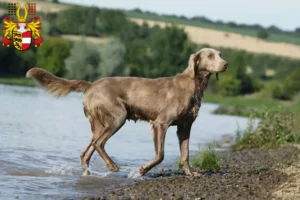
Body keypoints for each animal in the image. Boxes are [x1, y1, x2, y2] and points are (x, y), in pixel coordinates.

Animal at [26, 47, 227, 176]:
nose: (225, 64)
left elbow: (185, 154)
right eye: (210, 56)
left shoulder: (185, 126)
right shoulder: (161, 123)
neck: (194, 85)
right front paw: (143, 169)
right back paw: (112, 166)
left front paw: (191, 174)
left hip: (100, 124)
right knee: (99, 144)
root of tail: (91, 84)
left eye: (220, 54)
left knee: (87, 152)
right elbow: (160, 154)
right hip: (117, 117)